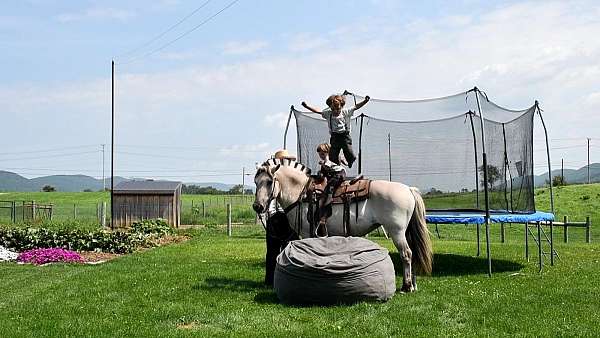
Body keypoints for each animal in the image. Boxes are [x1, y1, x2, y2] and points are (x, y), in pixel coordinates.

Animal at [252, 157, 432, 292]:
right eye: (255, 182)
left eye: (269, 182)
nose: (257, 207)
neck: (301, 193)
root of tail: (408, 189)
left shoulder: (308, 233)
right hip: (405, 231)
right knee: (413, 253)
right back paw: (413, 285)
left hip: (397, 231)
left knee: (406, 254)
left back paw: (406, 287)